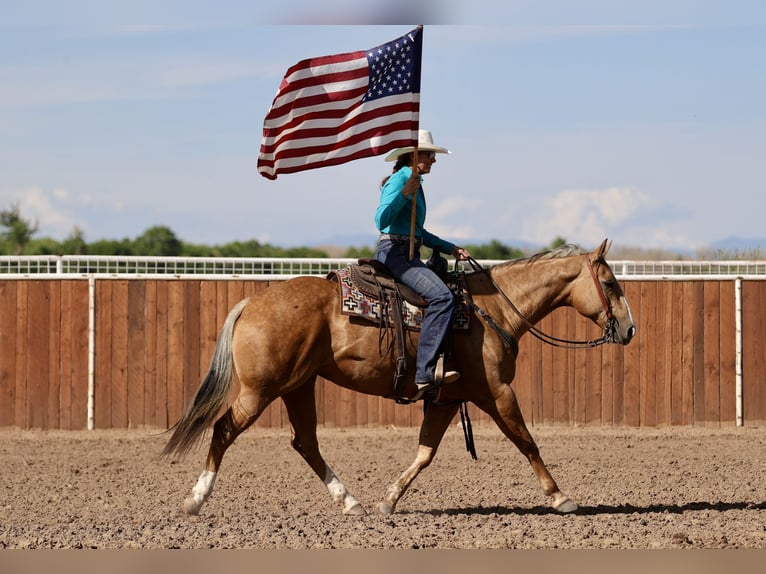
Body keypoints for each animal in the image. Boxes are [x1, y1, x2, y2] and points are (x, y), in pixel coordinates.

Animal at [163, 238, 636, 516]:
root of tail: (251, 302)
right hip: (261, 391)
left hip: (298, 386)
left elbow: (425, 452)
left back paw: (351, 502)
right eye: (611, 284)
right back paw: (195, 500)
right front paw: (560, 496)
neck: (494, 310)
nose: (630, 330)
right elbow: (527, 442)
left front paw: (389, 500)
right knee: (224, 429)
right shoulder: (497, 393)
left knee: (305, 443)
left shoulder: (447, 399)